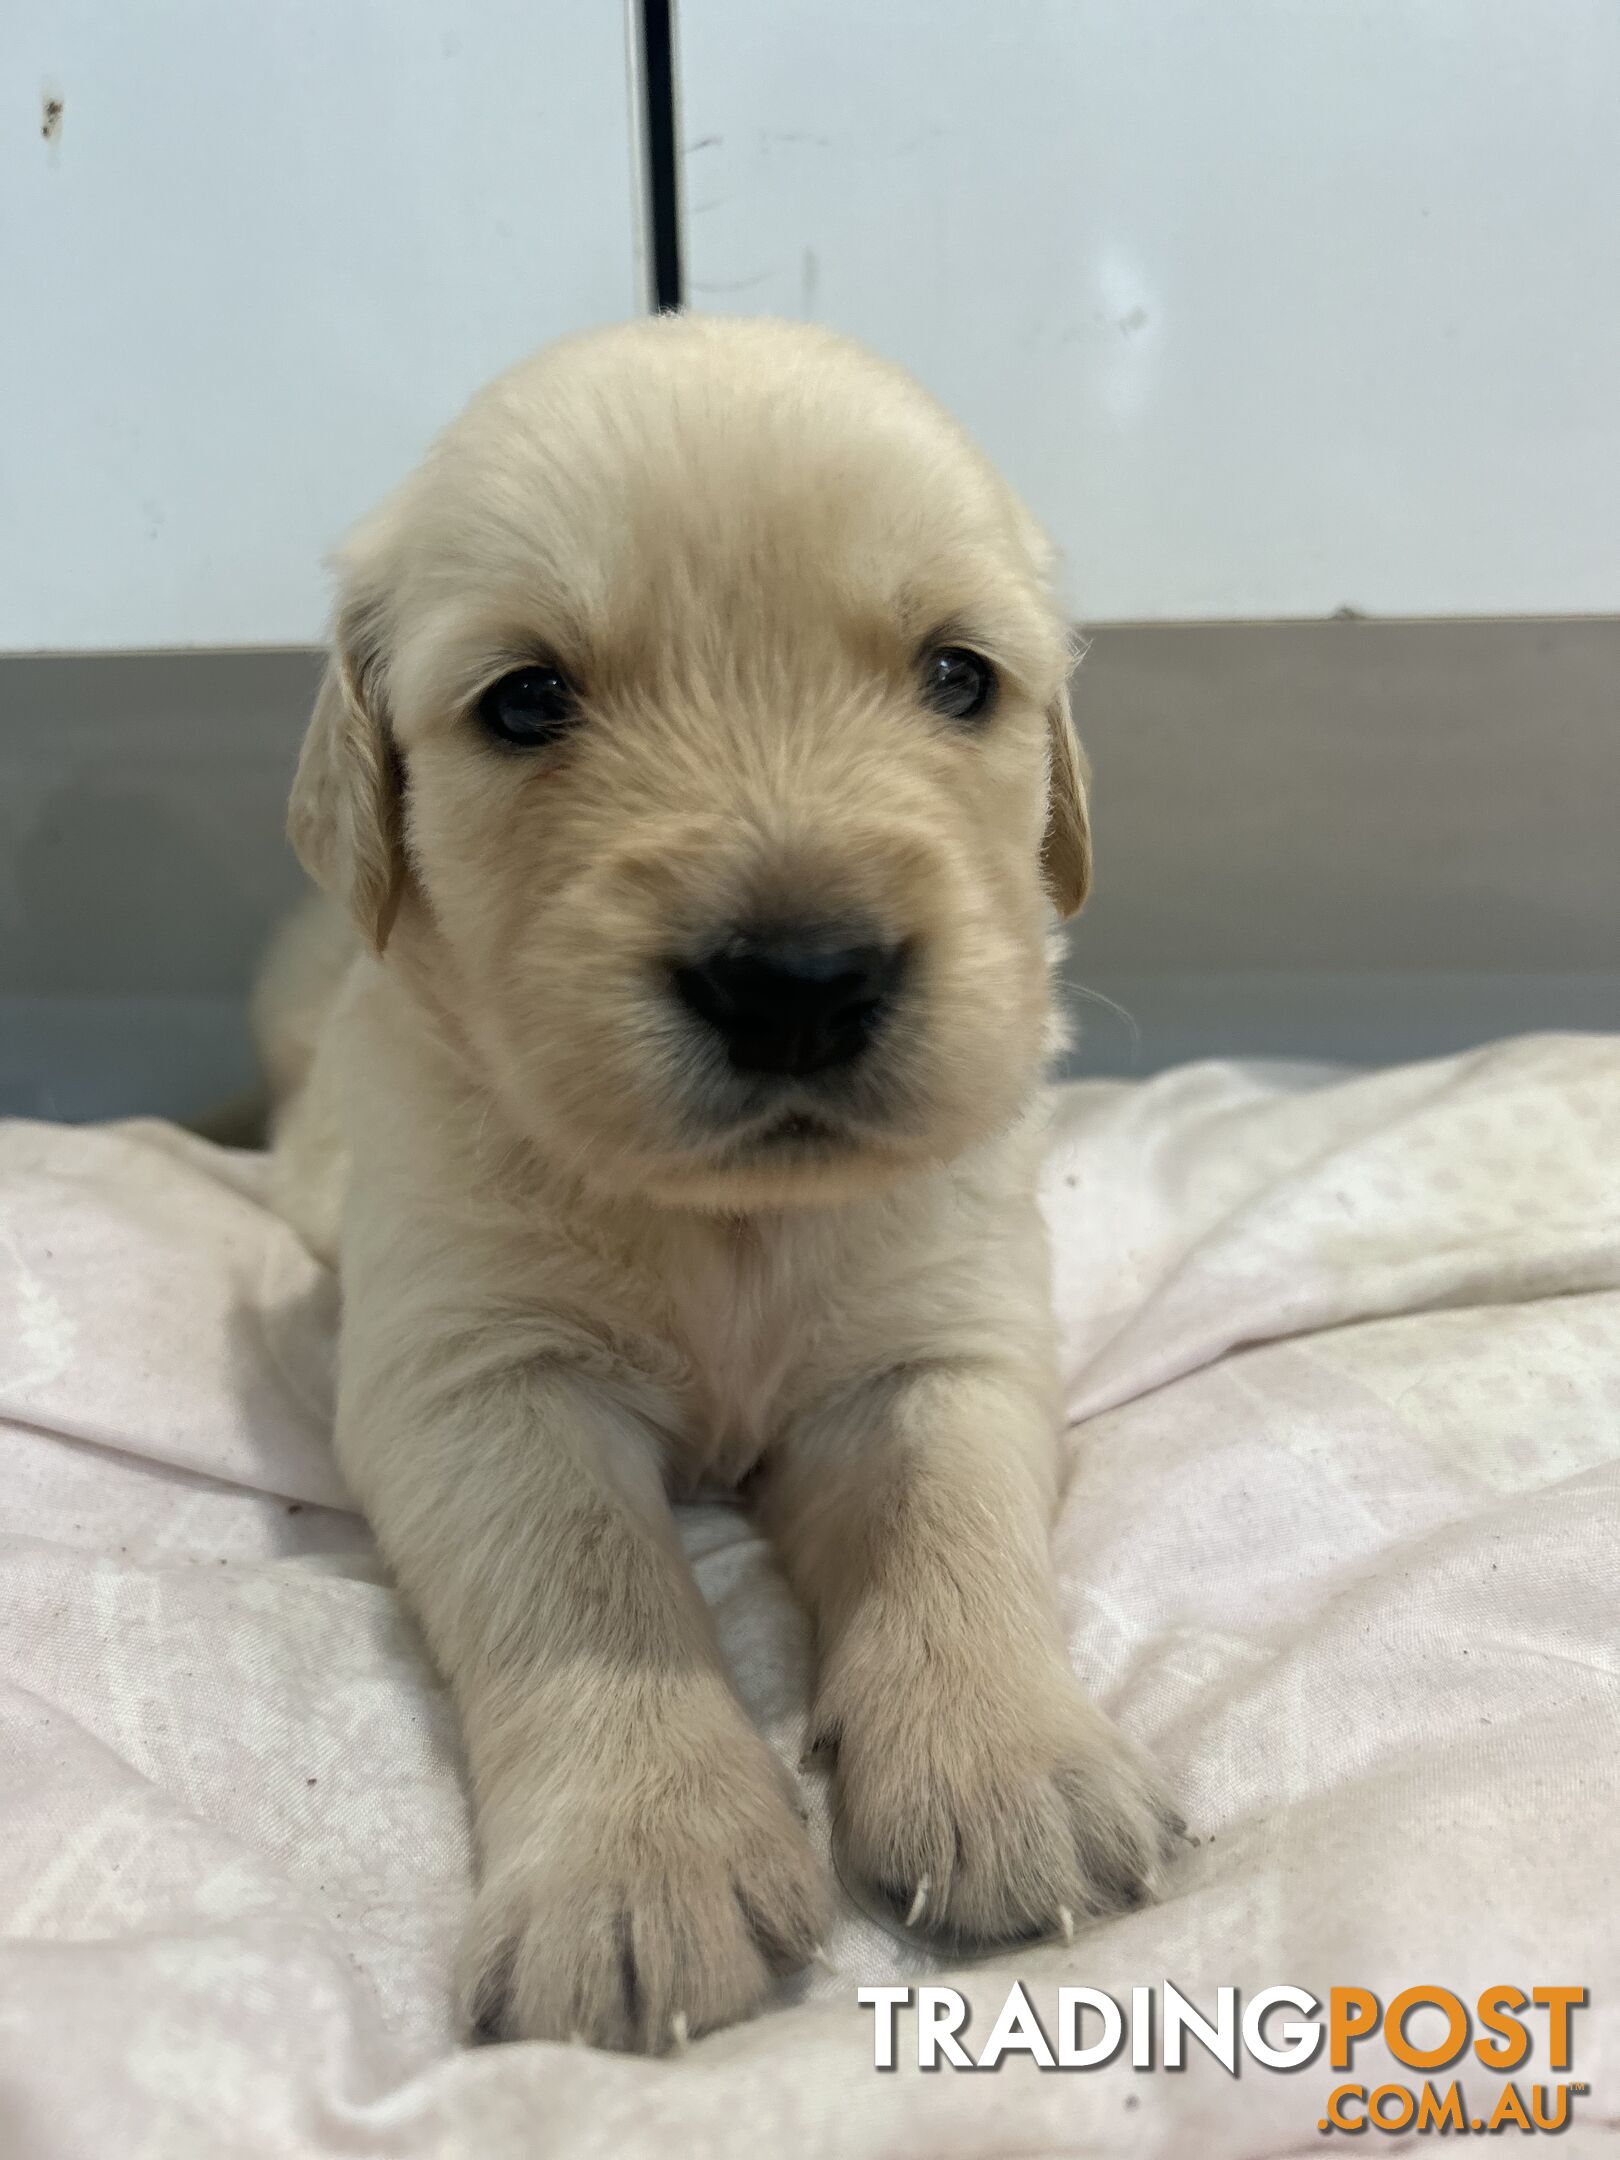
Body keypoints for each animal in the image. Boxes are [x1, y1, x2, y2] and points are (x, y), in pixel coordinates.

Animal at [263, 313, 1183, 2047]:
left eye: (959, 675)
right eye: (527, 702)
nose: (800, 981)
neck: (731, 1222)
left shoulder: (941, 1337)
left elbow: (948, 1526)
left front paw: (1017, 1767)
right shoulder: (476, 1376)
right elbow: (588, 1585)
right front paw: (636, 1869)